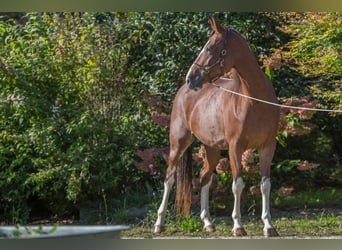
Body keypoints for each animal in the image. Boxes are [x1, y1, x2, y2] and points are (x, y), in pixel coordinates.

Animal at [154, 17, 280, 236]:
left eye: (210, 48)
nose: (191, 78)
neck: (254, 99)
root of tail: (183, 91)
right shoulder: (235, 147)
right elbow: (237, 185)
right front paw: (238, 226)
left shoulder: (267, 146)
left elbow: (265, 185)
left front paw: (268, 225)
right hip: (178, 143)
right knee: (169, 178)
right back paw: (159, 223)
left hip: (211, 148)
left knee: (204, 178)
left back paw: (207, 222)